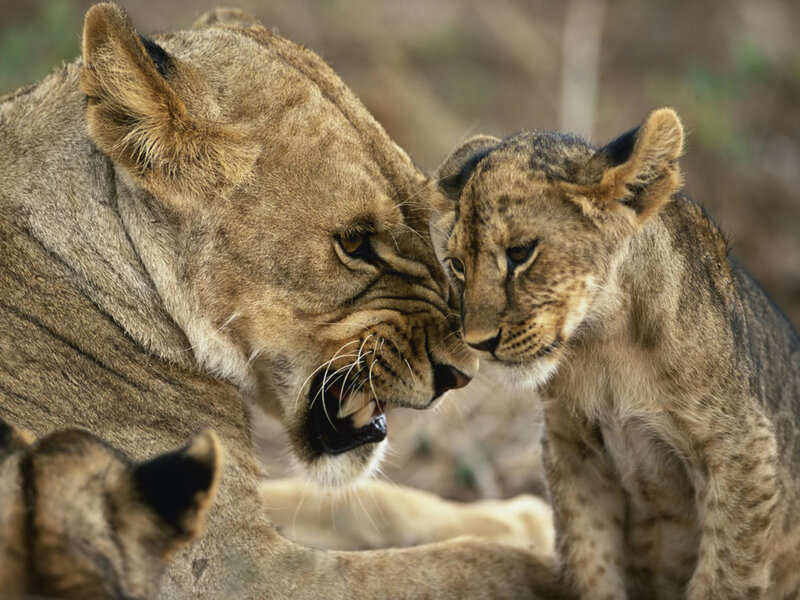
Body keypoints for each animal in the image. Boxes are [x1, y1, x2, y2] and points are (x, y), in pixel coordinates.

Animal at [433, 108, 800, 599]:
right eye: (457, 265)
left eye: (520, 253)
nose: (477, 341)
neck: (606, 342)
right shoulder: (573, 449)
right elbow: (590, 562)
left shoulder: (741, 449)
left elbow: (725, 575)